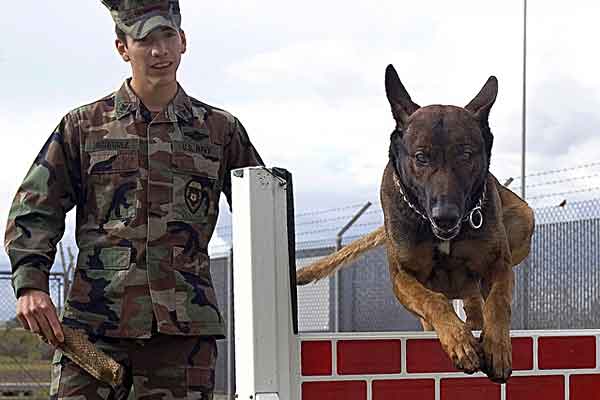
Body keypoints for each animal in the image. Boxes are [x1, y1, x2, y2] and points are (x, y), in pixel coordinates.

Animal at [296, 64, 536, 382]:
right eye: (421, 157)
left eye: (466, 154)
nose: (445, 215)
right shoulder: (403, 278)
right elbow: (433, 300)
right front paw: (459, 341)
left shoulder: (498, 264)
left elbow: (498, 302)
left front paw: (497, 347)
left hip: (523, 219)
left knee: (476, 296)